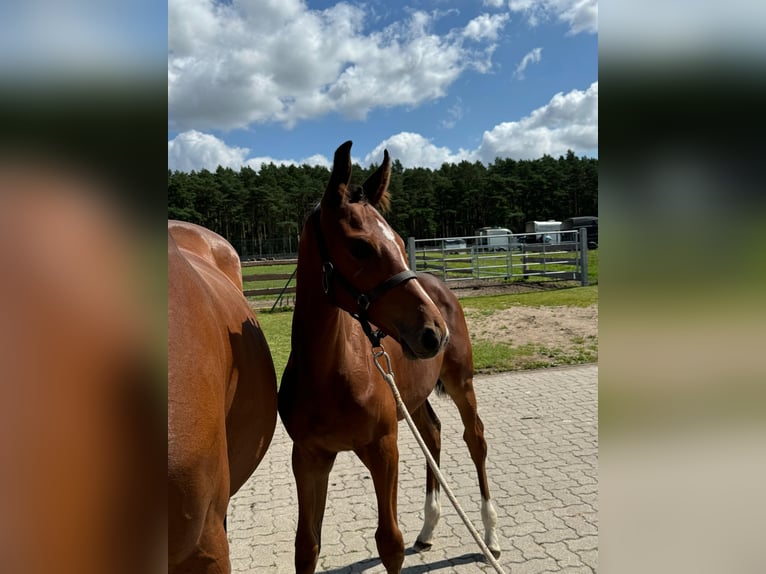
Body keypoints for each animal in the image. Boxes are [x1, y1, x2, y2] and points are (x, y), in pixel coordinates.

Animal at [280, 141, 500, 574]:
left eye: (399, 241)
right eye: (360, 246)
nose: (434, 333)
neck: (330, 373)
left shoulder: (384, 449)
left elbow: (390, 543)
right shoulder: (309, 457)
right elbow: (306, 546)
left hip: (461, 382)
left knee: (475, 439)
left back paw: (490, 534)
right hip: (413, 396)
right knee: (433, 433)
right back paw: (428, 529)